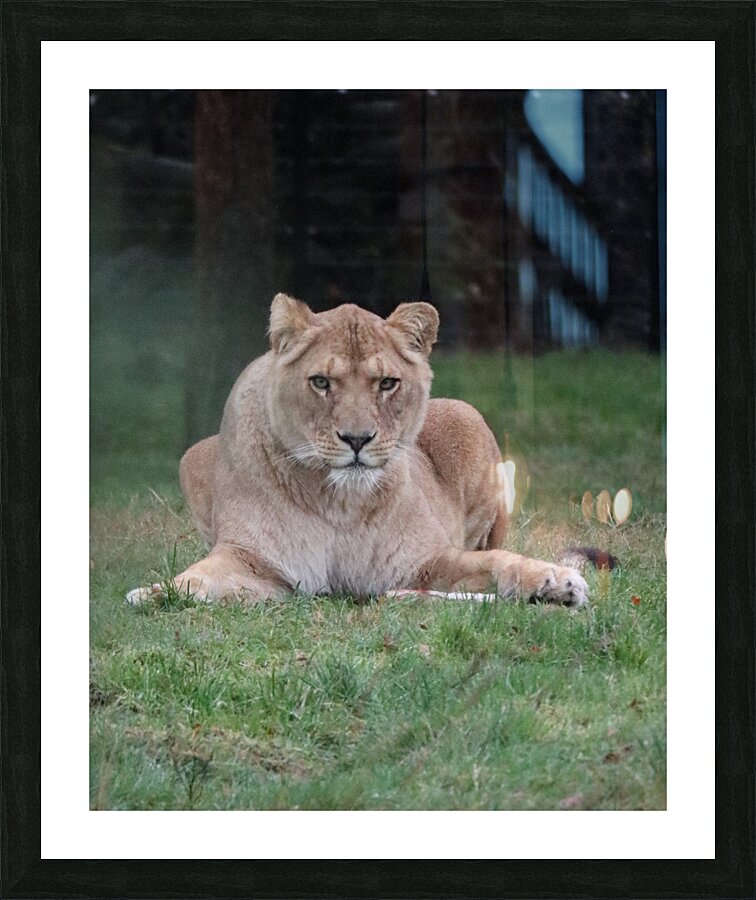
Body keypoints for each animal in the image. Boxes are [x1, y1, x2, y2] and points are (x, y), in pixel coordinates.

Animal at [127, 294, 588, 608]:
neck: (339, 503)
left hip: (468, 416)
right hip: (193, 456)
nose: (357, 439)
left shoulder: (426, 561)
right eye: (320, 382)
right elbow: (198, 577)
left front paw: (556, 582)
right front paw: (153, 593)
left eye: (386, 383)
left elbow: (495, 560)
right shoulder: (256, 563)